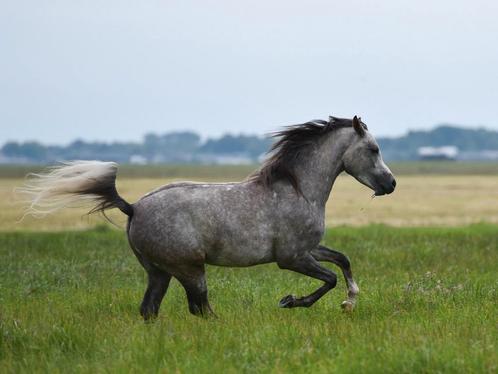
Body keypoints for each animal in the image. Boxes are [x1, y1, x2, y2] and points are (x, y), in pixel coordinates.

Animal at [19, 115, 396, 320]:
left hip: (159, 272)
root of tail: (133, 207)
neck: (299, 189)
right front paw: (290, 301)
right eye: (373, 149)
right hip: (190, 269)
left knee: (150, 309)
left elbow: (343, 261)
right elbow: (328, 279)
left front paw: (350, 302)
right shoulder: (291, 257)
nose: (390, 184)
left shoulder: (309, 249)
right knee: (200, 308)